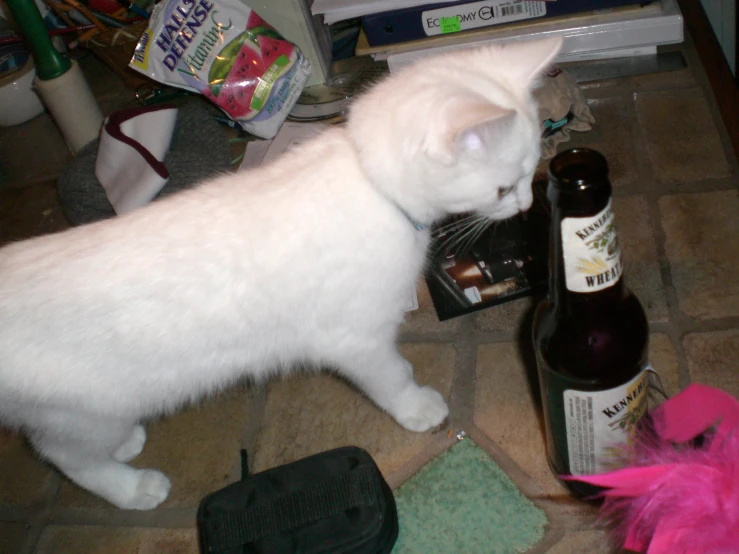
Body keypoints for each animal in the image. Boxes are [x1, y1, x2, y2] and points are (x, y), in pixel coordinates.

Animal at [0, 36, 560, 506]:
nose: (527, 204)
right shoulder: (352, 337)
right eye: (503, 188)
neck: (372, 184)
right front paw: (417, 408)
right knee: (66, 456)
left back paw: (126, 444)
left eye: (531, 171)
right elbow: (389, 375)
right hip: (83, 409)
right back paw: (134, 489)